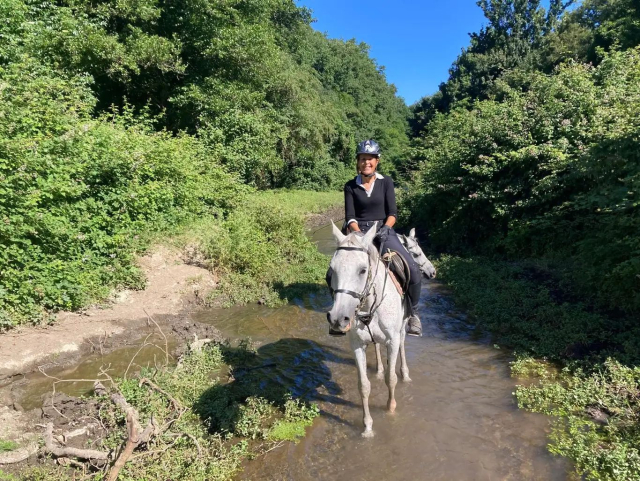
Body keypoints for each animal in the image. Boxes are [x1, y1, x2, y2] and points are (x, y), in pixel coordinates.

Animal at [326, 222, 411, 437]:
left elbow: (391, 378)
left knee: (403, 342)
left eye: (363, 270)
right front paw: (367, 426)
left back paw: (405, 374)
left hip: (403, 326)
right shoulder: (357, 345)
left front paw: (391, 408)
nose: (338, 319)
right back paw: (379, 368)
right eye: (332, 270)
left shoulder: (392, 340)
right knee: (377, 348)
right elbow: (364, 386)